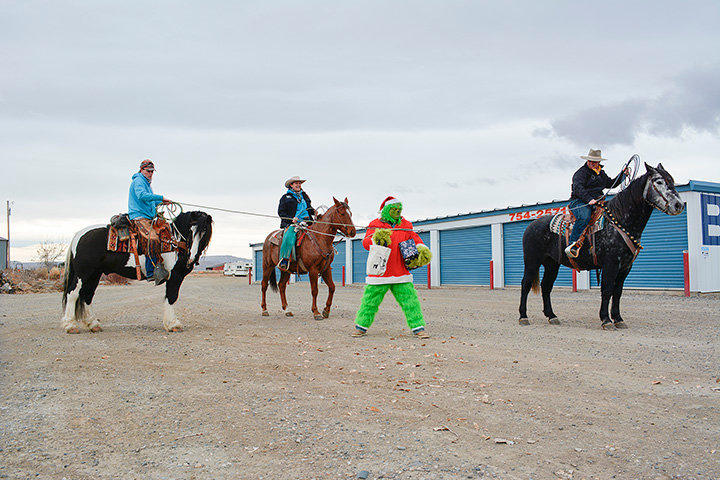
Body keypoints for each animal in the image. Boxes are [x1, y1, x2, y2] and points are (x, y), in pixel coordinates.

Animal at [62, 210, 211, 334]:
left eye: (204, 232)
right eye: (190, 230)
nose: (192, 256)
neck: (174, 242)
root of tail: (78, 235)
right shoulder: (175, 276)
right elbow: (171, 297)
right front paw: (173, 324)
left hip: (94, 275)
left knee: (87, 295)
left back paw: (93, 325)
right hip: (83, 274)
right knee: (73, 294)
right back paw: (70, 326)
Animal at [520, 163, 684, 328]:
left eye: (672, 180)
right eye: (659, 182)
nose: (679, 205)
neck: (620, 221)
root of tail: (531, 226)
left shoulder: (625, 267)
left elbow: (617, 292)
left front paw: (618, 319)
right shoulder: (611, 264)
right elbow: (607, 289)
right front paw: (606, 319)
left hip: (552, 264)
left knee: (546, 286)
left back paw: (552, 316)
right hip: (532, 261)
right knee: (526, 284)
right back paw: (523, 317)